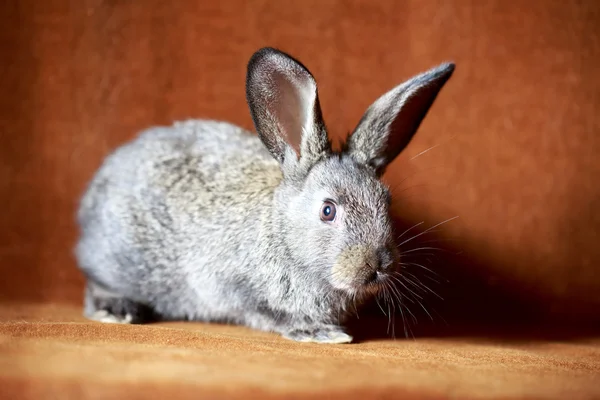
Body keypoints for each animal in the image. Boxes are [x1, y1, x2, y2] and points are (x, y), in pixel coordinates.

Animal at [76, 47, 454, 344]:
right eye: (328, 211)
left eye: (385, 202)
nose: (378, 265)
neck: (283, 236)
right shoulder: (232, 288)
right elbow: (268, 314)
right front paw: (319, 332)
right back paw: (118, 310)